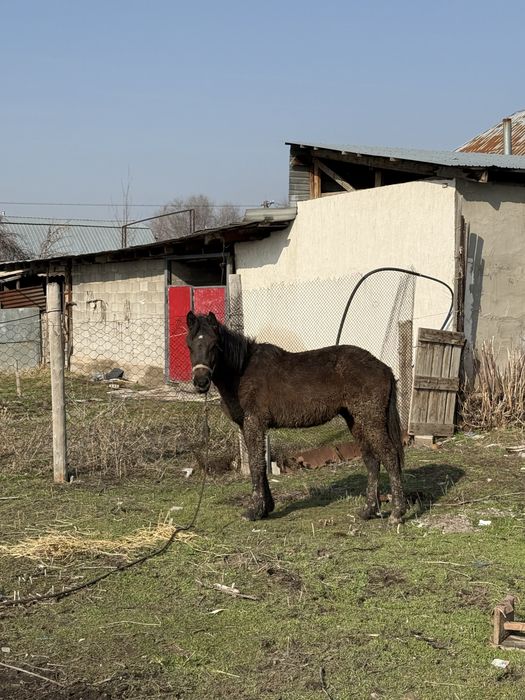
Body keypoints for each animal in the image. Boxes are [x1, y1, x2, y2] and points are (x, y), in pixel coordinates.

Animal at [186, 311, 407, 524]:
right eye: (190, 345)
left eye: (214, 345)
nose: (201, 382)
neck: (242, 371)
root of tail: (384, 368)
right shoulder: (250, 426)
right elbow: (260, 463)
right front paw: (266, 508)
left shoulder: (254, 423)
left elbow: (257, 464)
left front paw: (254, 510)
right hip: (356, 421)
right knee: (372, 461)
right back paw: (368, 510)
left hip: (371, 420)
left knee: (389, 456)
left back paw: (397, 513)